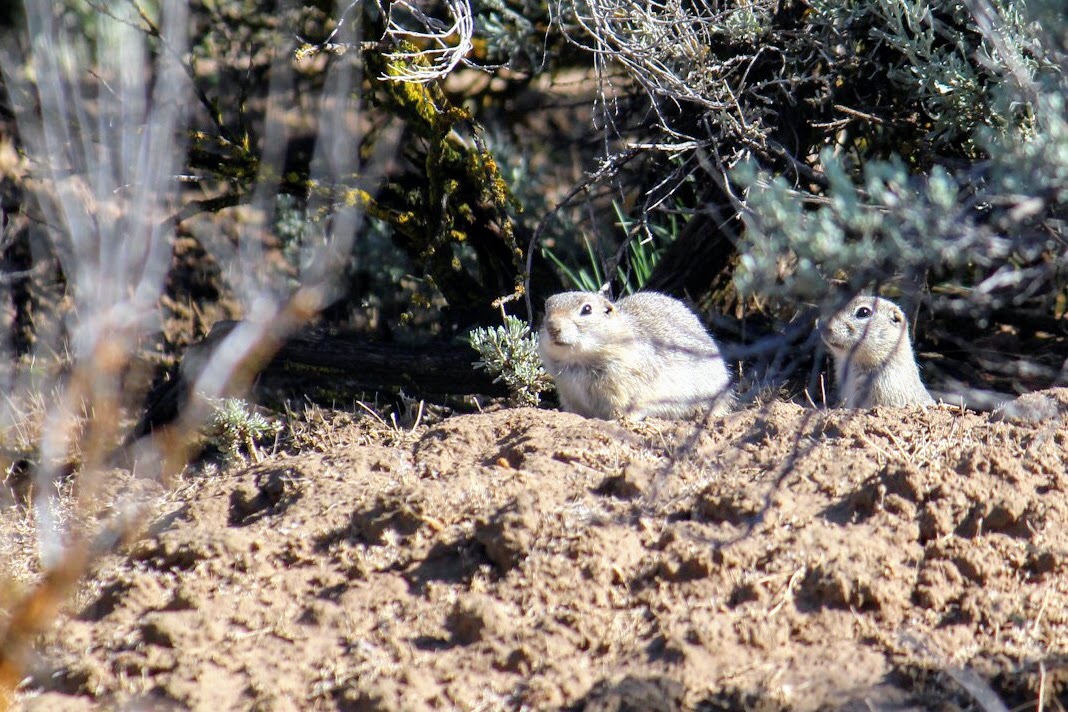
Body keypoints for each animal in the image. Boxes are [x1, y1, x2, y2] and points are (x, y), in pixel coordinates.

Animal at [537, 291, 734, 420]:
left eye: (587, 309)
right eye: (547, 307)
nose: (552, 327)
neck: (580, 361)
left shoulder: (627, 390)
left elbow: (627, 410)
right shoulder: (568, 392)